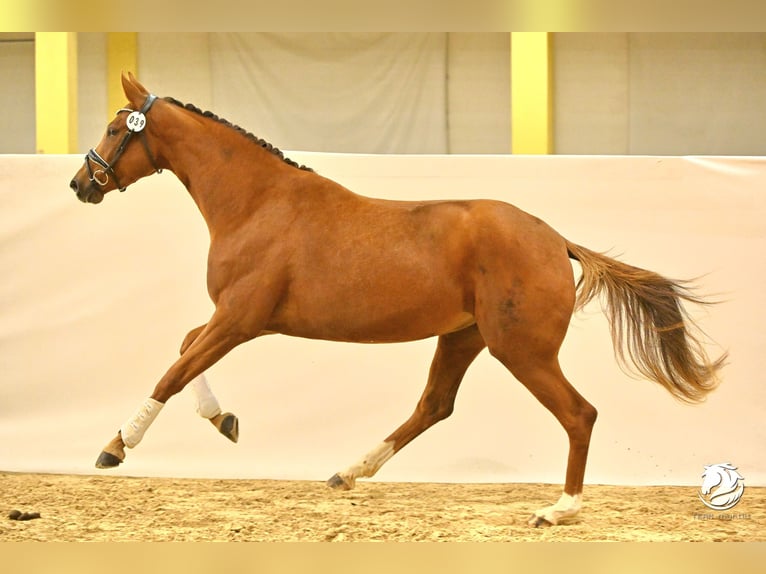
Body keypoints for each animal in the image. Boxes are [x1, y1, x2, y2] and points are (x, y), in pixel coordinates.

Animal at [67, 74, 728, 528]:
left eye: (114, 129)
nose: (80, 184)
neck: (258, 203)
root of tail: (553, 239)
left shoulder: (241, 318)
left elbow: (174, 369)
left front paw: (115, 446)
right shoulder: (234, 318)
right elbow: (184, 352)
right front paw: (223, 420)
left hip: (522, 351)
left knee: (578, 414)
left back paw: (559, 509)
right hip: (464, 338)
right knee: (434, 405)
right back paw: (347, 472)